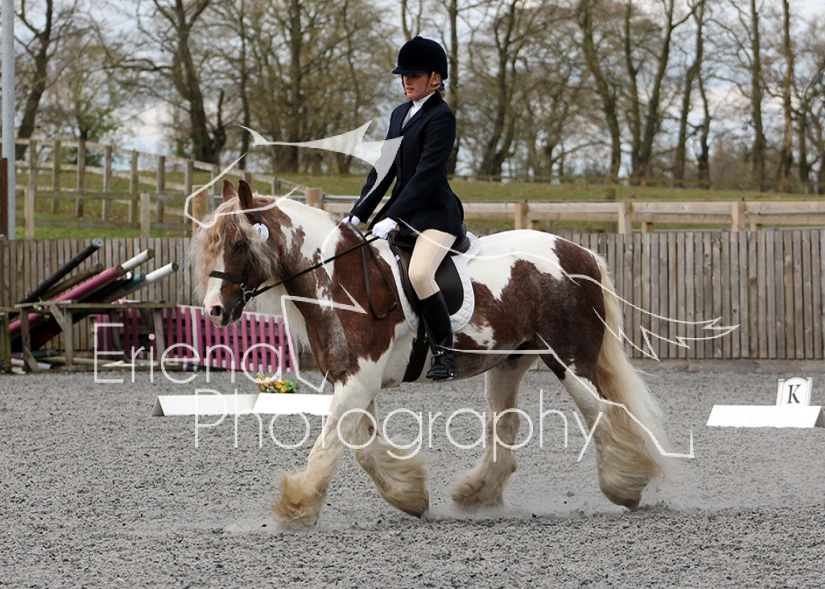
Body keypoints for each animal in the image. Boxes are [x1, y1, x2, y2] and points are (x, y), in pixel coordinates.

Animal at [192, 180, 669, 528]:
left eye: (238, 244)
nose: (214, 310)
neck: (338, 278)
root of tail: (580, 252)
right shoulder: (353, 380)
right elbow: (363, 447)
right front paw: (410, 496)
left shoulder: (357, 380)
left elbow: (330, 444)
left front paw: (297, 507)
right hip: (510, 363)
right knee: (505, 425)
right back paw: (477, 494)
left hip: (568, 360)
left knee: (601, 413)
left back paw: (626, 485)